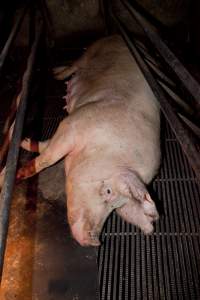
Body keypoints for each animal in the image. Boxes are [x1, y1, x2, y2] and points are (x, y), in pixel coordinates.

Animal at [4, 35, 160, 246]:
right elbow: (48, 158)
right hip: (92, 49)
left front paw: (25, 141)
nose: (94, 240)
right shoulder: (74, 124)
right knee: (74, 65)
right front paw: (15, 174)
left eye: (116, 207)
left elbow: (45, 147)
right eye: (108, 191)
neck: (108, 148)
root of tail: (117, 35)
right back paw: (56, 73)